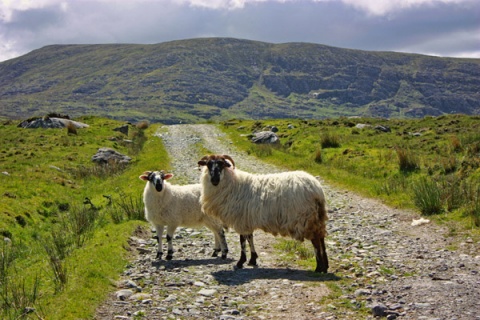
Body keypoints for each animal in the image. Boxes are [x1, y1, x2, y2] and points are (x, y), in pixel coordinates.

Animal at [197, 155, 328, 272]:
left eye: (221, 164)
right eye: (208, 164)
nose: (214, 180)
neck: (233, 184)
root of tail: (317, 189)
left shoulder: (241, 220)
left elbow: (242, 241)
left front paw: (241, 262)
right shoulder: (247, 221)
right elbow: (250, 238)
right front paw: (252, 259)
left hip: (307, 219)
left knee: (316, 241)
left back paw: (318, 268)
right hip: (317, 217)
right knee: (321, 238)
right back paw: (325, 266)